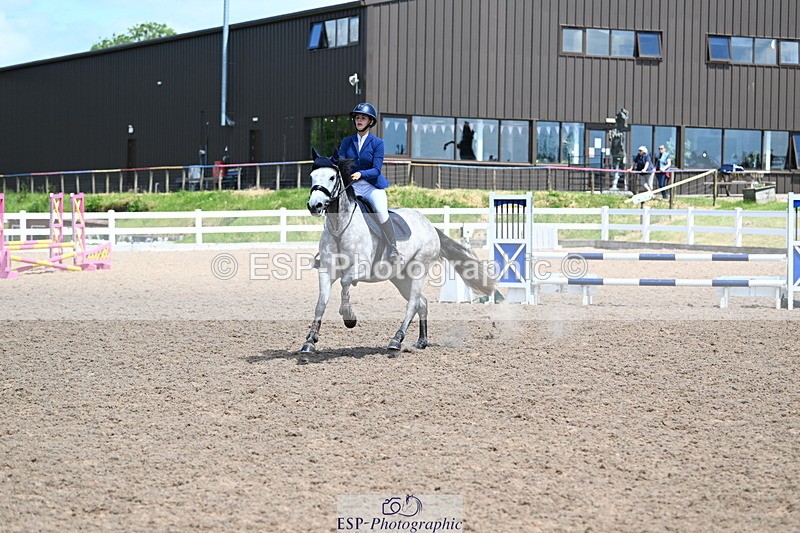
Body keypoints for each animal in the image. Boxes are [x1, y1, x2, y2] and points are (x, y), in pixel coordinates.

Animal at [301, 149, 495, 354]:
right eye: (312, 176)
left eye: (332, 177)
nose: (314, 205)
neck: (340, 227)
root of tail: (430, 225)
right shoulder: (326, 271)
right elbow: (320, 303)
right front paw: (310, 341)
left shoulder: (361, 268)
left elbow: (345, 281)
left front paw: (349, 317)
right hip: (400, 277)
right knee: (421, 302)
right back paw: (421, 341)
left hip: (419, 270)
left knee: (413, 303)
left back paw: (396, 339)